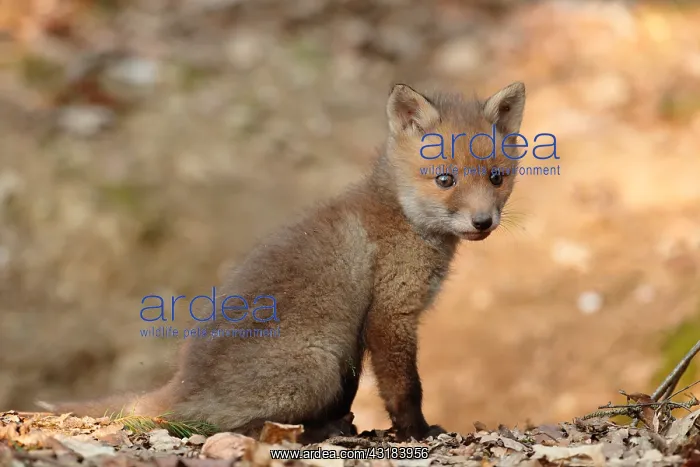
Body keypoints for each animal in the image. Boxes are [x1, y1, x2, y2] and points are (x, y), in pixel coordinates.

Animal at [37, 81, 526, 443]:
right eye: (445, 179)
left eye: (496, 178)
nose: (483, 222)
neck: (402, 217)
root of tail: (183, 381)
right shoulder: (390, 316)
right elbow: (405, 388)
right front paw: (418, 433)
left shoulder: (357, 338)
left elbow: (359, 390)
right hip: (316, 366)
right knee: (210, 425)